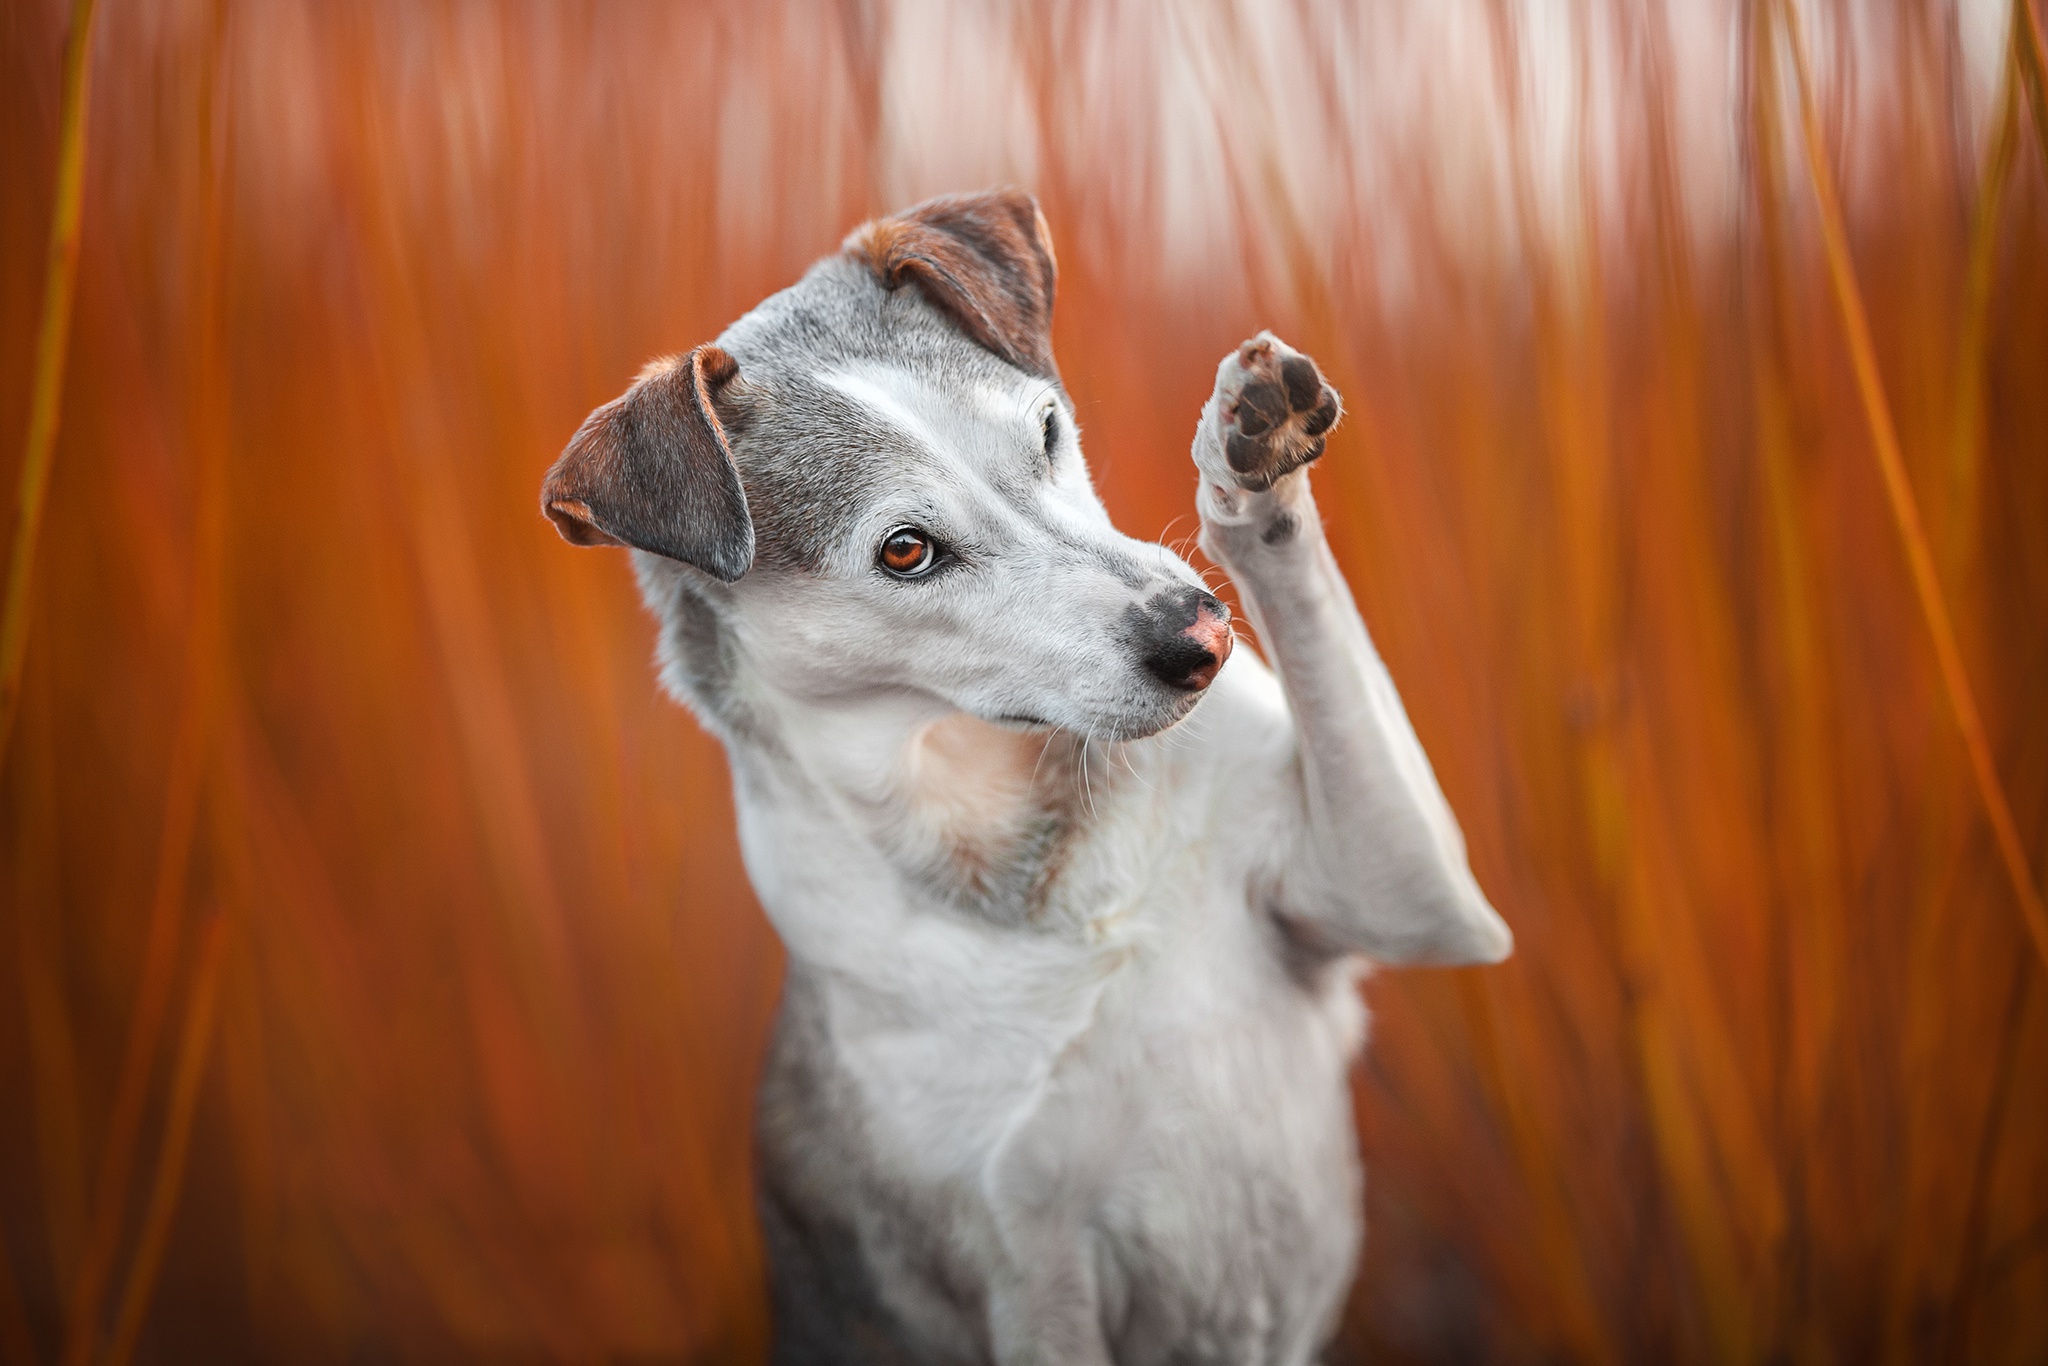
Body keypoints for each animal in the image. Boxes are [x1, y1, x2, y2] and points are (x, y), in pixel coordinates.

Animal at [536, 192, 1515, 1366]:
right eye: (905, 551)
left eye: (1045, 432)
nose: (1198, 638)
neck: (1035, 855)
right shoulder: (1028, 1276)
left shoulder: (1404, 887)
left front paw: (1254, 460)